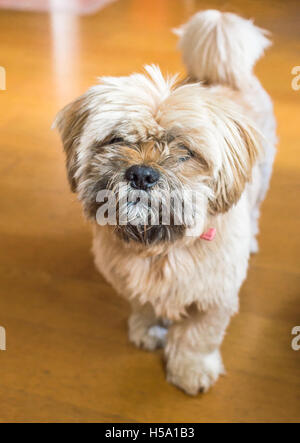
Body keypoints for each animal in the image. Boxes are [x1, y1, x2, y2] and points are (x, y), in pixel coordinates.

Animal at [54, 10, 276, 398]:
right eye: (117, 139)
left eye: (185, 151)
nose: (142, 174)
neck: (160, 248)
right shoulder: (132, 283)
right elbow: (143, 306)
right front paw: (147, 331)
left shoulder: (214, 299)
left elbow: (197, 338)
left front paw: (190, 370)